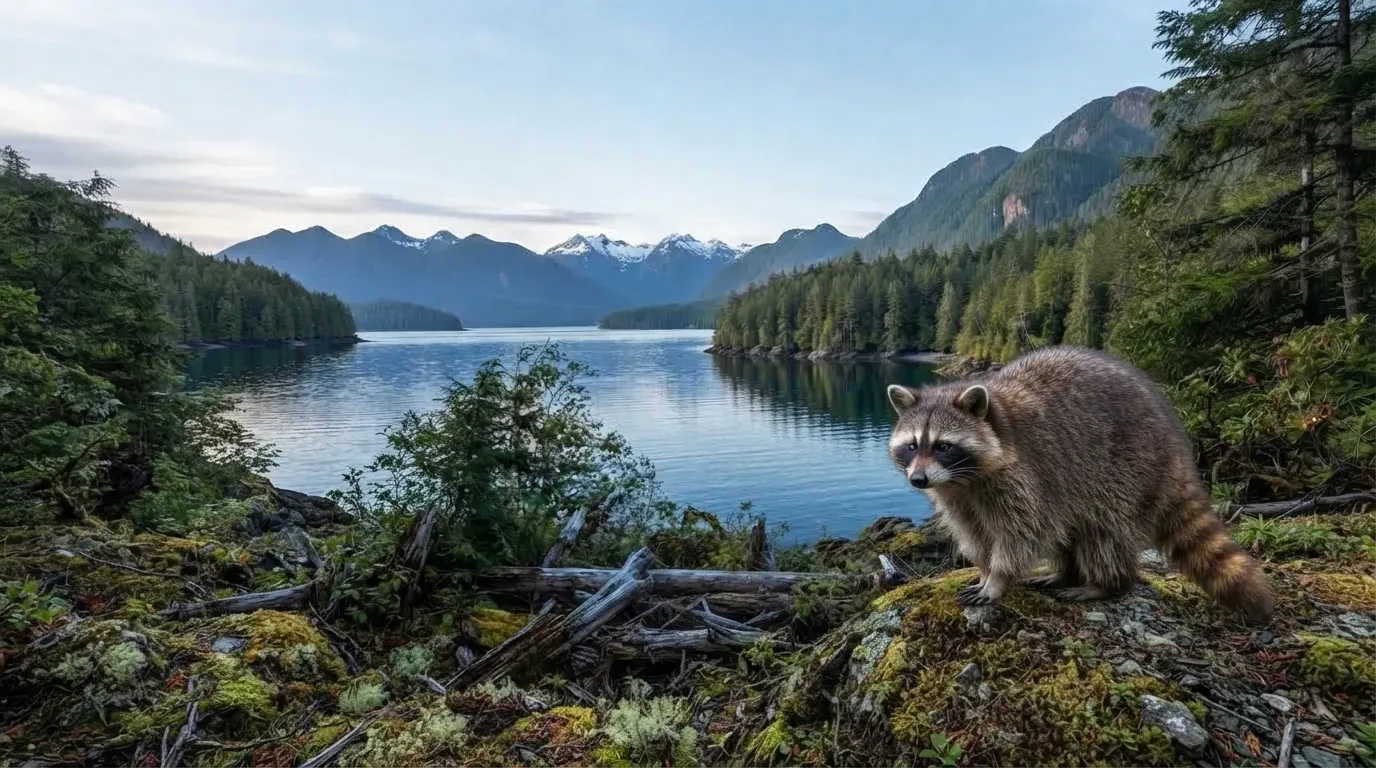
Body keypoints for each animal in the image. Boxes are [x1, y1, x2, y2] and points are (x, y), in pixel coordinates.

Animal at [885, 345, 1274, 625]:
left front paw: (997, 577)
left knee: (1102, 533)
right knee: (1068, 529)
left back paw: (1107, 584)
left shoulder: (1024, 478)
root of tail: (1177, 445)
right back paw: (1065, 573)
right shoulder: (958, 496)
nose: (918, 479)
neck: (965, 478)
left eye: (943, 446)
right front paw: (984, 571)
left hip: (1127, 468)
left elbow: (1021, 534)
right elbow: (975, 534)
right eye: (912, 446)